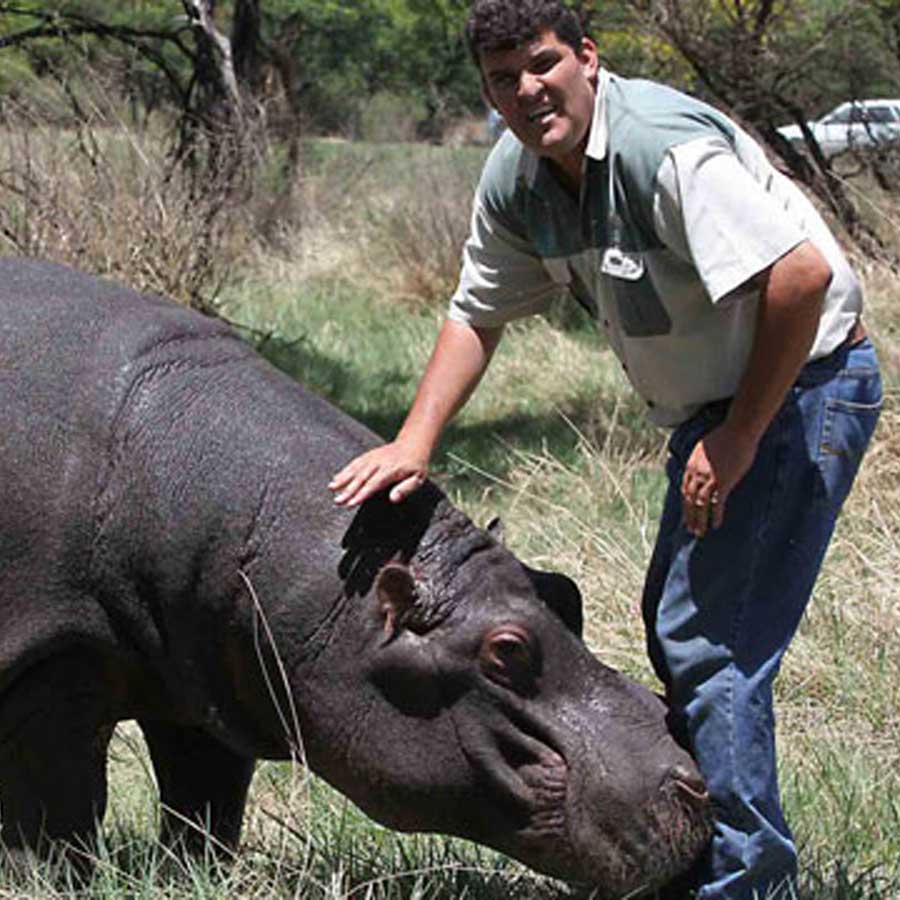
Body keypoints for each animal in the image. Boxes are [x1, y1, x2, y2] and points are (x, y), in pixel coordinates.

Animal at [0, 257, 710, 896]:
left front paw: (197, 879)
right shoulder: (49, 662)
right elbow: (54, 813)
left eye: (568, 591)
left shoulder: (202, 669)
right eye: (507, 651)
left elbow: (205, 802)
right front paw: (54, 884)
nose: (696, 781)